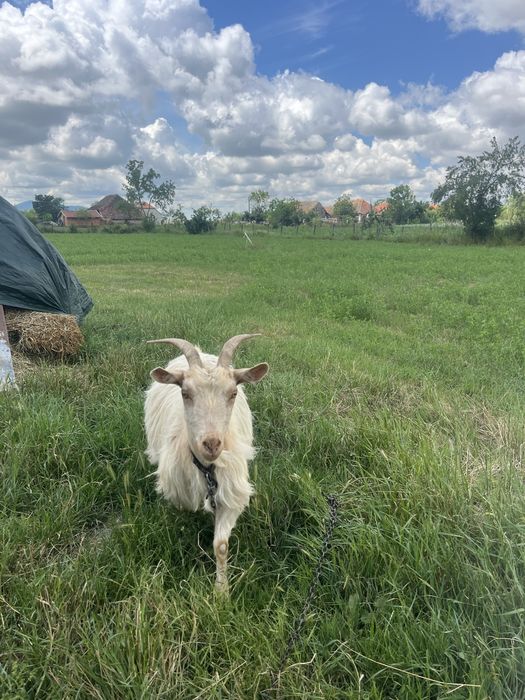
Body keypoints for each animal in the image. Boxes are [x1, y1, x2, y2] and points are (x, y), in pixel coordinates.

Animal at [144, 334, 268, 594]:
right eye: (185, 393)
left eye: (233, 393)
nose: (211, 443)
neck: (206, 470)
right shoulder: (179, 495)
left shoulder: (232, 495)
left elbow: (220, 545)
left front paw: (221, 592)